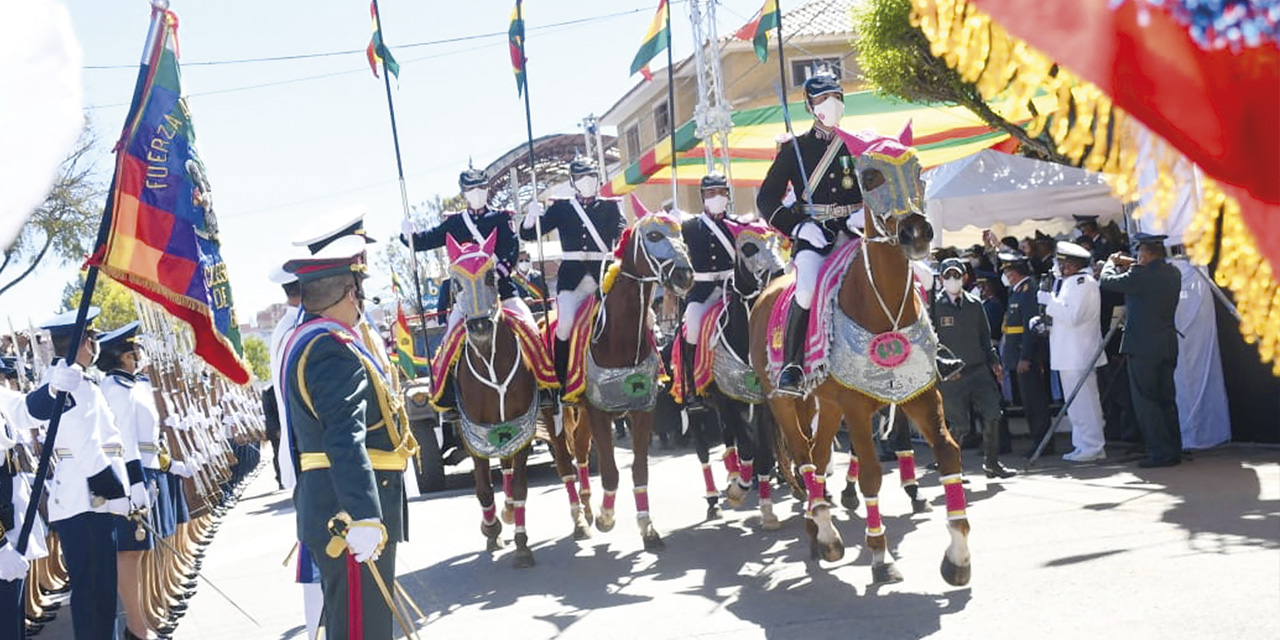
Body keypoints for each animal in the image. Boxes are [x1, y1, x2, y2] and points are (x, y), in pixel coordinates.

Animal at [440, 230, 555, 565]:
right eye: (455, 282)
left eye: (491, 276)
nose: (479, 325)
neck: (491, 364)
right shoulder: (473, 432)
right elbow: (483, 489)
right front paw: (490, 530)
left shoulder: (522, 427)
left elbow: (519, 486)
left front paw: (522, 544)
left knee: (506, 470)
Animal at [558, 209, 691, 550]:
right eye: (654, 236)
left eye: (682, 234)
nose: (685, 276)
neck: (618, 337)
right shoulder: (600, 412)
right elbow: (610, 471)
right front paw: (606, 518)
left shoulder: (642, 410)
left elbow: (640, 471)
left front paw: (647, 527)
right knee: (565, 462)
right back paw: (580, 519)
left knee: (580, 452)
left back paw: (586, 508)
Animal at [680, 220, 788, 529]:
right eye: (749, 247)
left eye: (778, 241)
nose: (780, 273)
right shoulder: (729, 399)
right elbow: (748, 447)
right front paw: (739, 488)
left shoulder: (760, 403)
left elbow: (761, 452)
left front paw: (766, 508)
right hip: (698, 410)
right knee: (704, 450)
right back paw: (714, 499)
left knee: (729, 440)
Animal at [747, 123, 967, 586]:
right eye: (870, 177)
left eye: (917, 169)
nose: (917, 233)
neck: (880, 299)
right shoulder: (858, 406)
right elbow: (869, 475)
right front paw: (880, 556)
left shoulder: (920, 394)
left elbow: (948, 452)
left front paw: (958, 555)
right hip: (784, 403)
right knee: (805, 459)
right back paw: (827, 533)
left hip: (826, 406)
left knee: (817, 457)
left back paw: (817, 529)